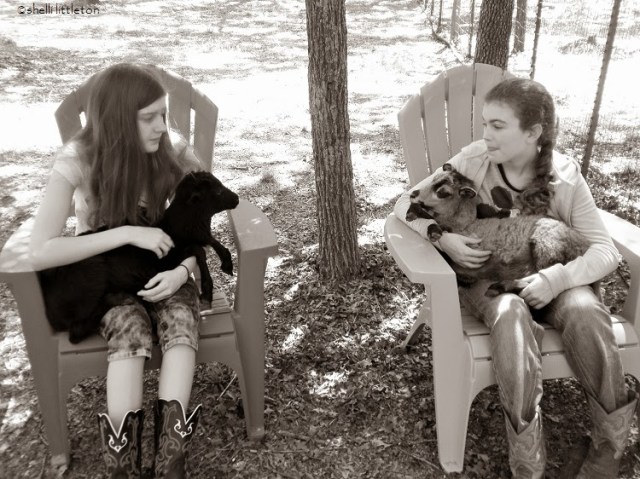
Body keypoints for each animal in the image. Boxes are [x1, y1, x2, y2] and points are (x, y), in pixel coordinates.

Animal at [38, 171, 239, 343]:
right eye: (218, 191)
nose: (237, 199)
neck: (176, 225)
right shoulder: (165, 261)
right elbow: (200, 250)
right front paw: (207, 293)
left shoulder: (195, 235)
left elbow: (210, 241)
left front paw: (227, 264)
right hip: (92, 275)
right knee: (76, 332)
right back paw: (120, 298)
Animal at [406, 163, 589, 295]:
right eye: (433, 178)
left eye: (443, 192)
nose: (413, 194)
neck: (465, 224)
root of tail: (583, 243)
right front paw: (412, 214)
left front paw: (432, 230)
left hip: (547, 245)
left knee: (542, 274)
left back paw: (500, 287)